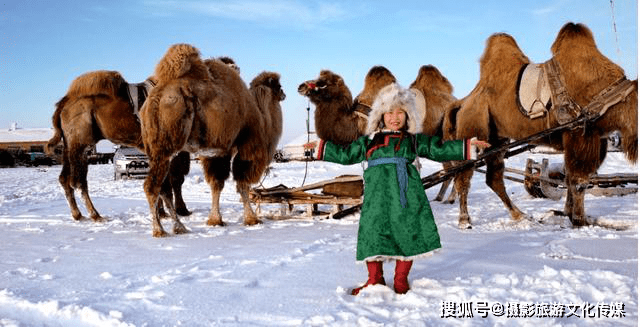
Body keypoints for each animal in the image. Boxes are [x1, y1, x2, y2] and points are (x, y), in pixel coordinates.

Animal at [45, 70, 192, 223]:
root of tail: (63, 105)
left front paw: (163, 213)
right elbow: (173, 180)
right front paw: (179, 211)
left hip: (69, 145)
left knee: (64, 178)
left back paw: (78, 214)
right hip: (79, 143)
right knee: (78, 181)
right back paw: (95, 215)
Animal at [141, 44, 284, 238]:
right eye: (278, 86)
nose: (284, 94)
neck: (260, 115)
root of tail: (156, 97)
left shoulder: (216, 151)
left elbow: (217, 184)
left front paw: (215, 220)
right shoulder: (247, 145)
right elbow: (242, 183)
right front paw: (252, 219)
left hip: (157, 150)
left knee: (163, 188)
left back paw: (180, 227)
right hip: (167, 145)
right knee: (152, 187)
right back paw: (159, 230)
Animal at [444, 21, 636, 229]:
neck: (610, 96)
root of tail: (462, 103)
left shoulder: (594, 138)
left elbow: (570, 177)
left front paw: (565, 213)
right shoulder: (579, 132)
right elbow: (579, 181)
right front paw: (579, 221)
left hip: (497, 141)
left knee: (493, 178)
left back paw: (520, 215)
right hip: (473, 132)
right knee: (463, 176)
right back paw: (465, 220)